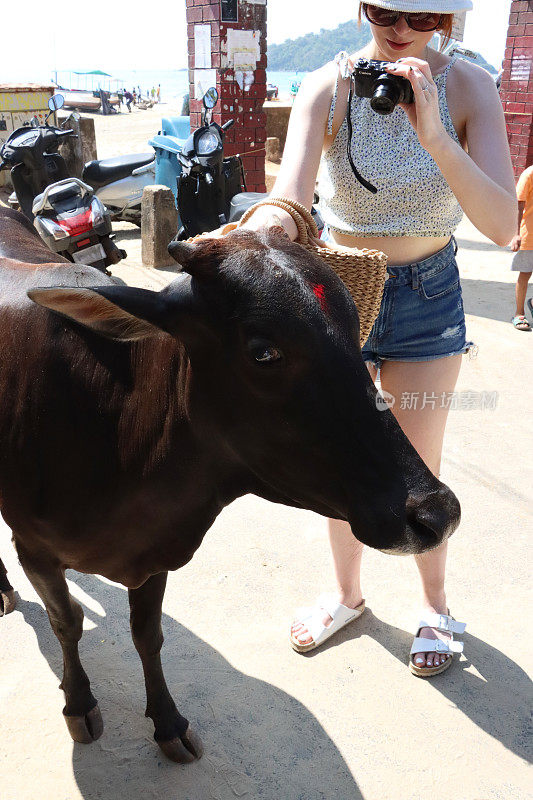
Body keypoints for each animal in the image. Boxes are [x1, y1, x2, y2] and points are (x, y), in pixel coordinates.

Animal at [0, 208, 458, 764]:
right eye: (263, 352)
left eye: (356, 332)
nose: (436, 512)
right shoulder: (33, 548)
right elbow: (65, 621)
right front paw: (79, 703)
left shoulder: (154, 558)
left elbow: (147, 635)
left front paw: (168, 722)